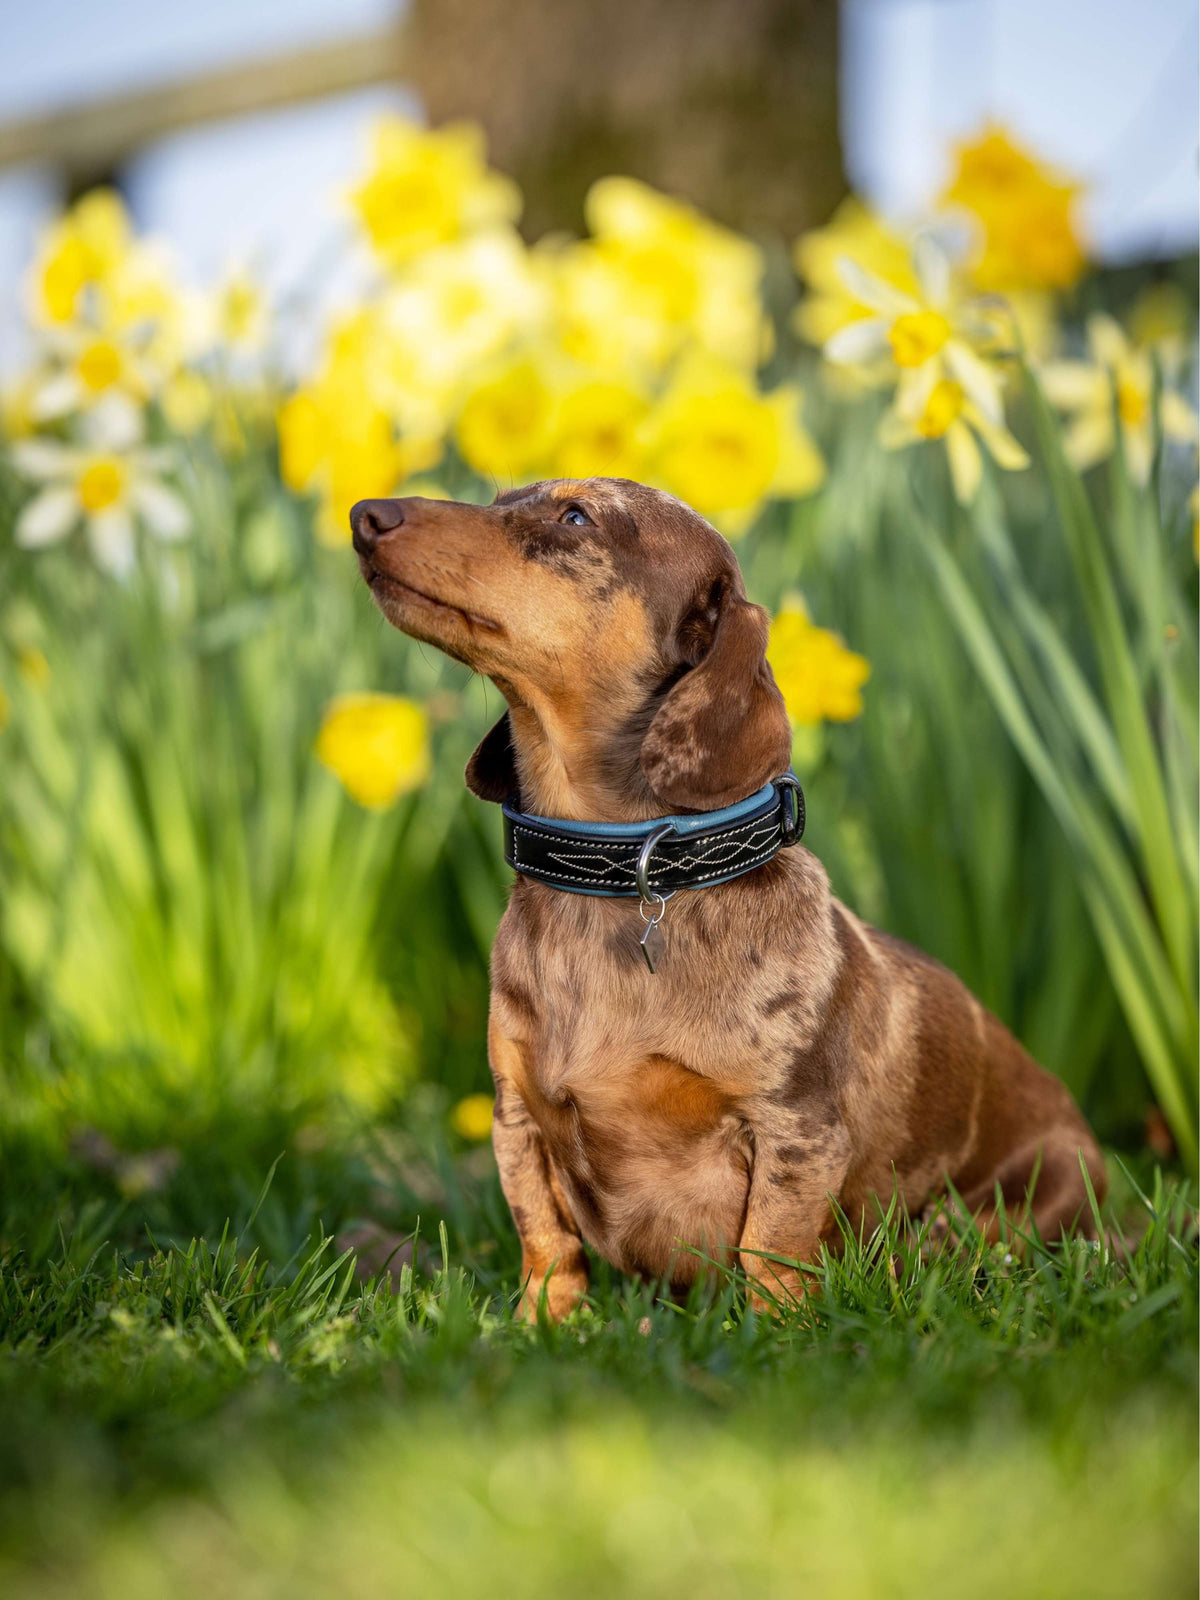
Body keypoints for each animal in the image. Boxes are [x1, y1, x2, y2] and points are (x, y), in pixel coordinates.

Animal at [350, 470, 1107, 1312]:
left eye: (577, 517)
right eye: (498, 499)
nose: (364, 514)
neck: (627, 878)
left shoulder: (796, 1131)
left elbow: (769, 1252)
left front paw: (777, 1328)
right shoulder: (515, 1119)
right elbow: (546, 1241)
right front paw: (547, 1323)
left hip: (1016, 1200)